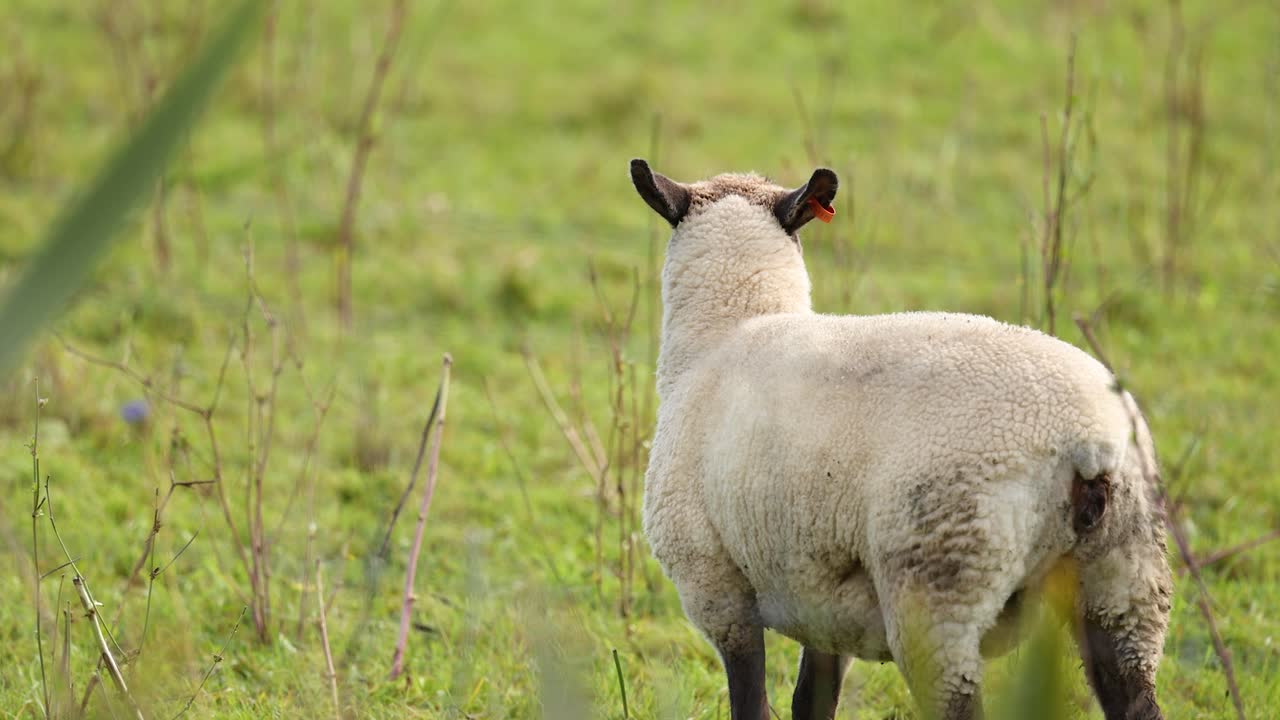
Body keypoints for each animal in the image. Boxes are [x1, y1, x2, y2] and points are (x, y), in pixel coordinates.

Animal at [629, 158, 1172, 720]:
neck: (730, 328)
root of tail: (1088, 444)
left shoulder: (714, 586)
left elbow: (751, 701)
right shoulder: (824, 597)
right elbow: (812, 700)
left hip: (938, 582)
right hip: (1127, 582)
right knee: (1136, 696)